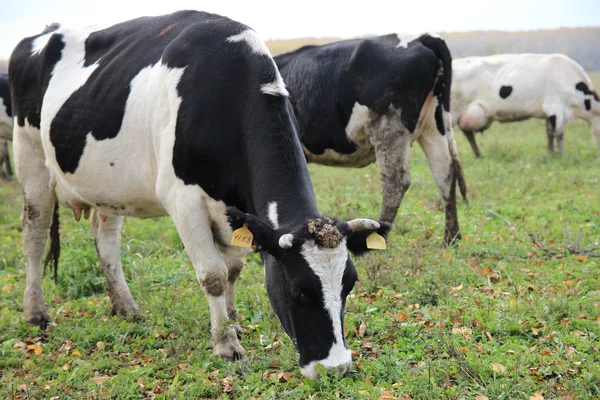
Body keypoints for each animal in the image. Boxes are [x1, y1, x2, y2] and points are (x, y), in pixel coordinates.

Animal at [10, 9, 394, 378]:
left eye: (349, 286)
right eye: (299, 291)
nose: (337, 368)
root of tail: (45, 31)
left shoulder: (234, 210)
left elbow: (235, 267)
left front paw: (234, 319)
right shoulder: (183, 199)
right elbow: (213, 275)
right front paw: (226, 345)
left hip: (108, 184)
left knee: (105, 239)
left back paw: (126, 307)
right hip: (30, 157)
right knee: (34, 235)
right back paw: (35, 311)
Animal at [274, 33, 466, 244]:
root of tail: (421, 38)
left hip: (390, 127)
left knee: (396, 181)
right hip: (434, 126)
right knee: (444, 173)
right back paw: (451, 237)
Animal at [452, 54, 596, 157]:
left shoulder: (548, 112)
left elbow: (550, 133)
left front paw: (551, 154)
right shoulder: (555, 107)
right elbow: (559, 134)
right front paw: (563, 154)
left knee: (468, 133)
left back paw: (479, 155)